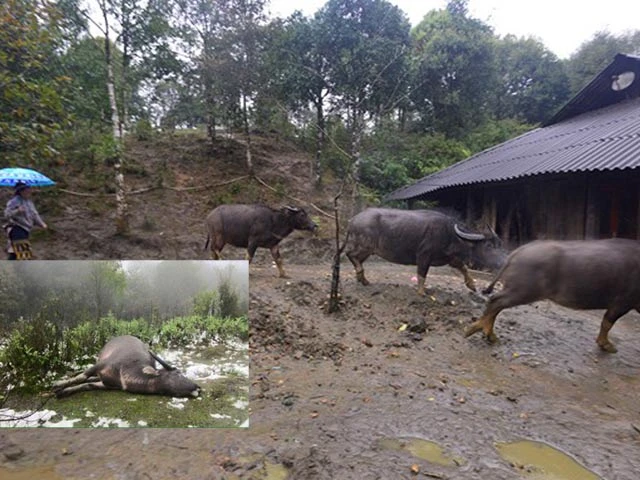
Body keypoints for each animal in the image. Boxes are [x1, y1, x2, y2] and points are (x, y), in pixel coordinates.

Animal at [52, 334, 200, 398]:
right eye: (178, 374)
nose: (198, 387)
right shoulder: (101, 364)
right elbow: (82, 377)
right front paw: (58, 385)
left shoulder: (107, 385)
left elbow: (87, 385)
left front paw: (64, 391)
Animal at [342, 208, 502, 294]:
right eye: (488, 245)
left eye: (498, 244)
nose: (501, 262)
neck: (451, 235)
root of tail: (353, 220)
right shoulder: (423, 256)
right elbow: (422, 274)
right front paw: (421, 292)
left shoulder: (450, 258)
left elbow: (463, 267)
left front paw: (472, 285)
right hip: (364, 246)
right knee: (350, 254)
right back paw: (361, 275)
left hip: (368, 251)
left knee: (357, 259)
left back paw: (363, 279)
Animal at [462, 239, 640, 352]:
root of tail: (517, 253)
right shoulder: (622, 303)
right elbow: (607, 323)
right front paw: (607, 346)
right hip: (523, 291)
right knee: (495, 301)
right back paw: (481, 332)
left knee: (495, 303)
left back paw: (488, 334)